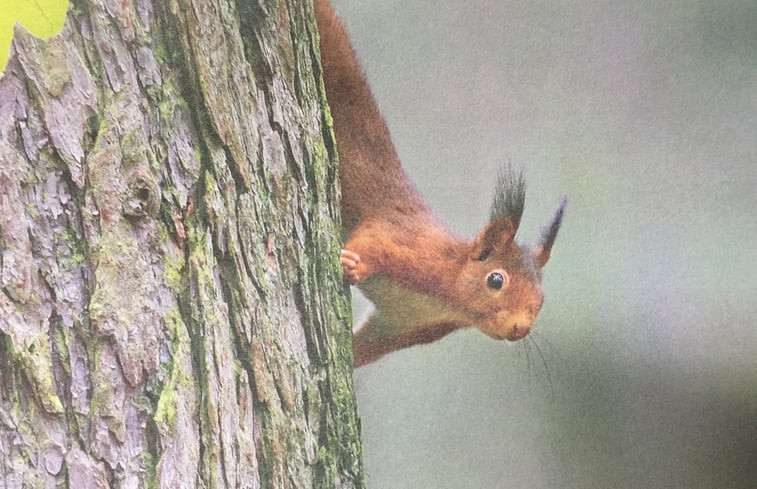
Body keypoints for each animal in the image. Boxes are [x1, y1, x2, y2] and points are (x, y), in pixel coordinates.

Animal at [310, 0, 564, 366]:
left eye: (541, 299)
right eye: (496, 280)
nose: (520, 330)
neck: (446, 296)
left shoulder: (403, 326)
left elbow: (365, 346)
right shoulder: (414, 246)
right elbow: (375, 237)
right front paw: (353, 264)